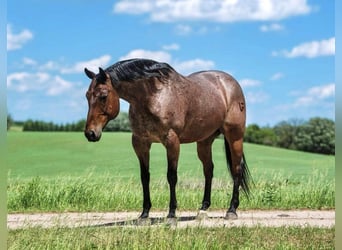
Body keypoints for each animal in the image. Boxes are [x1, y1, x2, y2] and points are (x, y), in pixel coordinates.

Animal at [85, 58, 251, 219]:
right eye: (87, 95)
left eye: (103, 96)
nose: (90, 133)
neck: (153, 96)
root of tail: (230, 83)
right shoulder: (140, 143)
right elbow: (145, 177)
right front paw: (144, 214)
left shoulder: (172, 142)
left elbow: (171, 176)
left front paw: (171, 214)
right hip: (204, 142)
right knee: (208, 170)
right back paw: (203, 209)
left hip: (234, 137)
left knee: (236, 170)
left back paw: (231, 210)